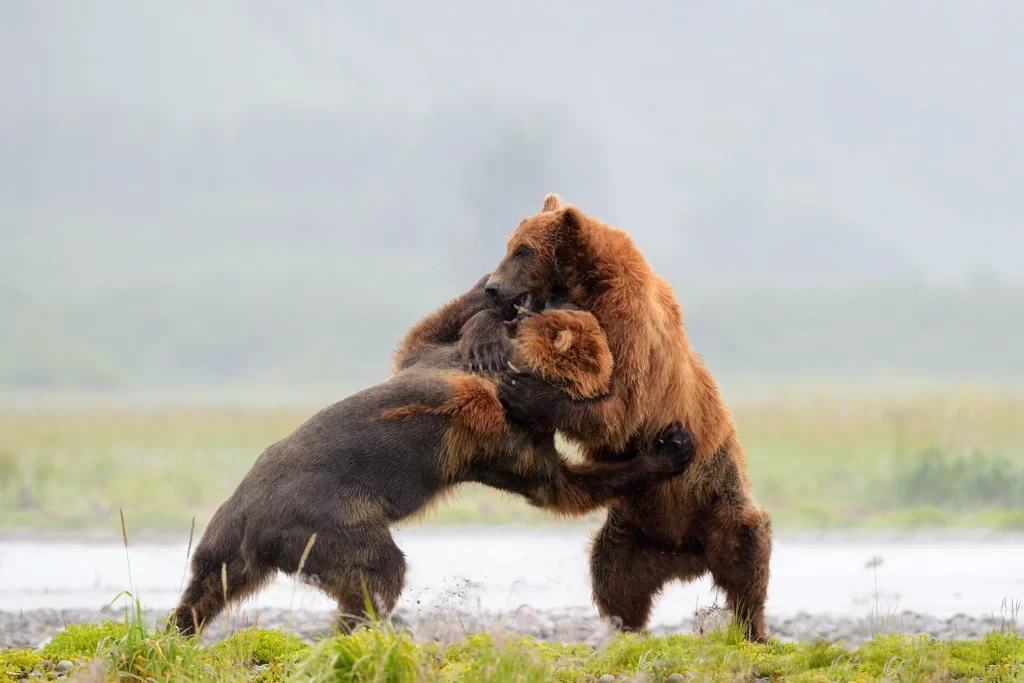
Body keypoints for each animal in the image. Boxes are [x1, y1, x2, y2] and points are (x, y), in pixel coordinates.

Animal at [174, 274, 696, 638]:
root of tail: (251, 525)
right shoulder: (499, 437)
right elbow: (557, 486)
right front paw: (670, 448)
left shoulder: (433, 357)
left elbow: (424, 331)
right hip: (326, 525)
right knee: (378, 573)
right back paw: (356, 633)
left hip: (222, 538)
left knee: (204, 592)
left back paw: (178, 633)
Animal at [475, 194, 770, 643]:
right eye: (510, 244)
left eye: (522, 250)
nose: (492, 287)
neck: (584, 287)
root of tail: (686, 554)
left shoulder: (628, 328)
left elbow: (619, 409)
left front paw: (527, 391)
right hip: (631, 530)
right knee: (613, 574)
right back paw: (625, 628)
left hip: (717, 497)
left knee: (746, 551)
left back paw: (751, 628)